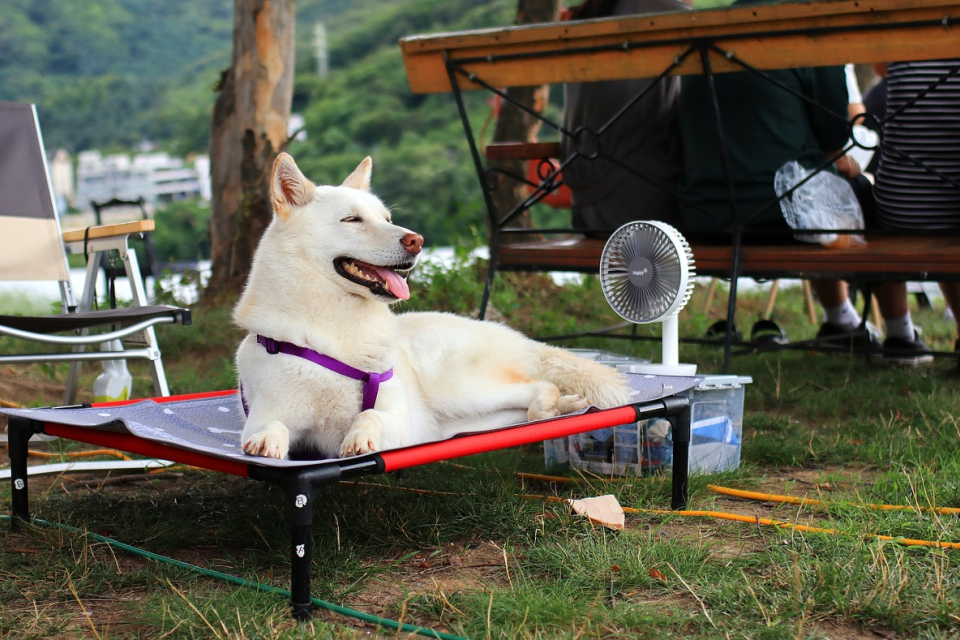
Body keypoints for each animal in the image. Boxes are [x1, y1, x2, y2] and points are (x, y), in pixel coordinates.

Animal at [234, 152, 632, 458]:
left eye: (387, 219)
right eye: (351, 219)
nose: (417, 240)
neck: (335, 332)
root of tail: (516, 337)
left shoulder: (400, 423)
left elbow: (369, 416)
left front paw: (360, 436)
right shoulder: (265, 414)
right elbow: (271, 426)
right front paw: (268, 440)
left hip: (458, 388)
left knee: (540, 385)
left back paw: (552, 405)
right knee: (535, 398)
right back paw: (563, 407)